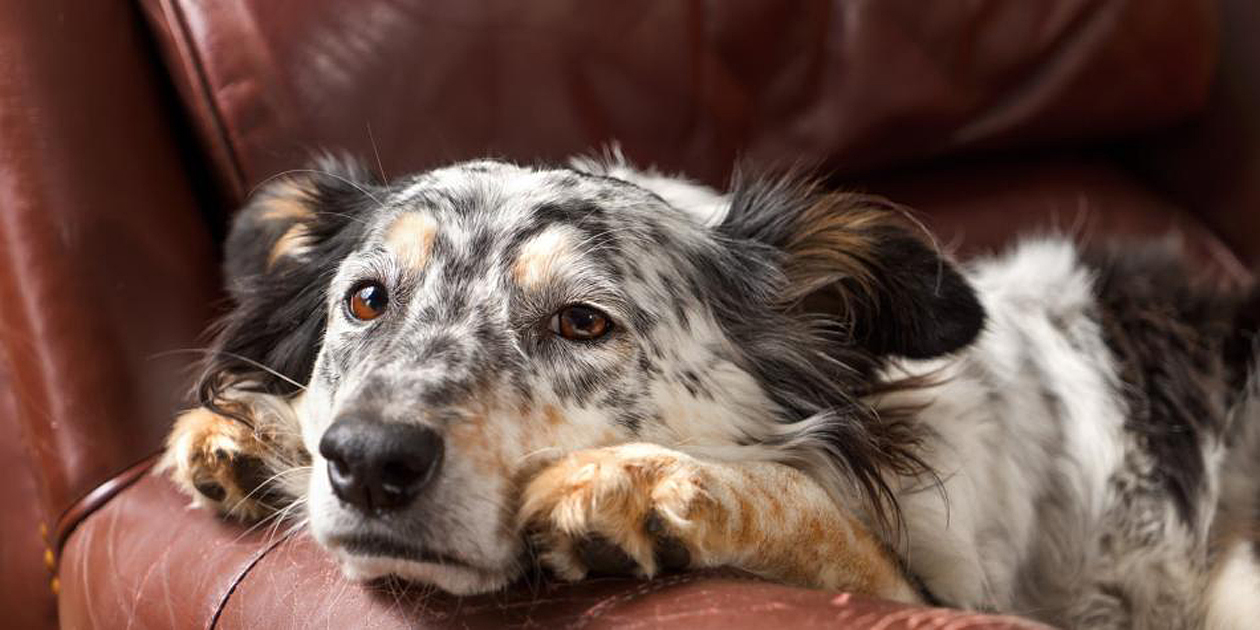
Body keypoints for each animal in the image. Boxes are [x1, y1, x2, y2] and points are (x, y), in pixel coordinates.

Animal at [160, 153, 1260, 630]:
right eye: (367, 301)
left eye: (584, 322)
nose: (367, 461)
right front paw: (254, 434)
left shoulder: (962, 597)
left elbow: (817, 511)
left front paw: (636, 485)